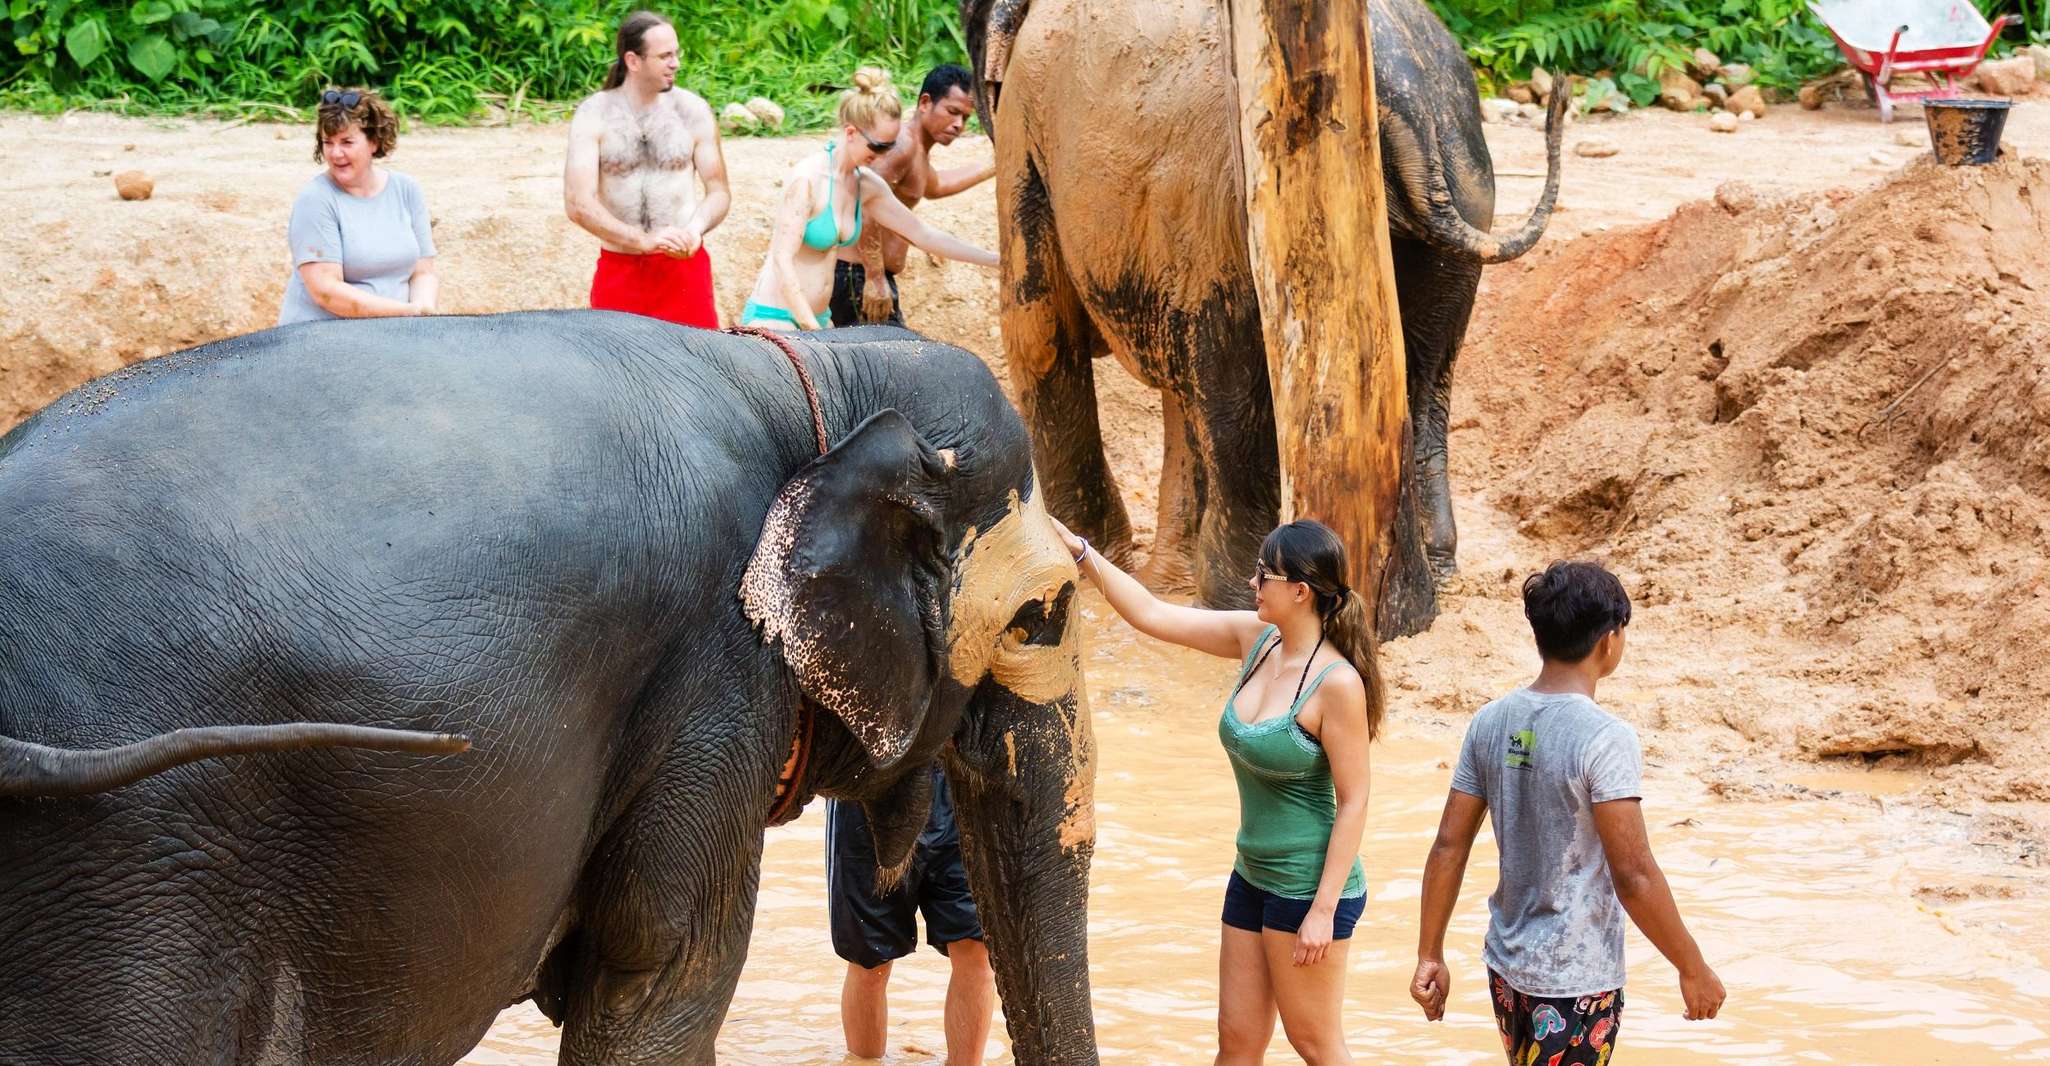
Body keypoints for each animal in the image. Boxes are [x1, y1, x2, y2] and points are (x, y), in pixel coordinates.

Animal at [961, 0, 1566, 637]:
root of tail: (1398, 96)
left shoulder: (1024, 126)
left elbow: (1035, 334)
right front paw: (1154, 578)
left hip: (1231, 207)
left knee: (1232, 391)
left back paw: (1229, 598)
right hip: (1468, 185)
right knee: (1426, 377)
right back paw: (1421, 599)